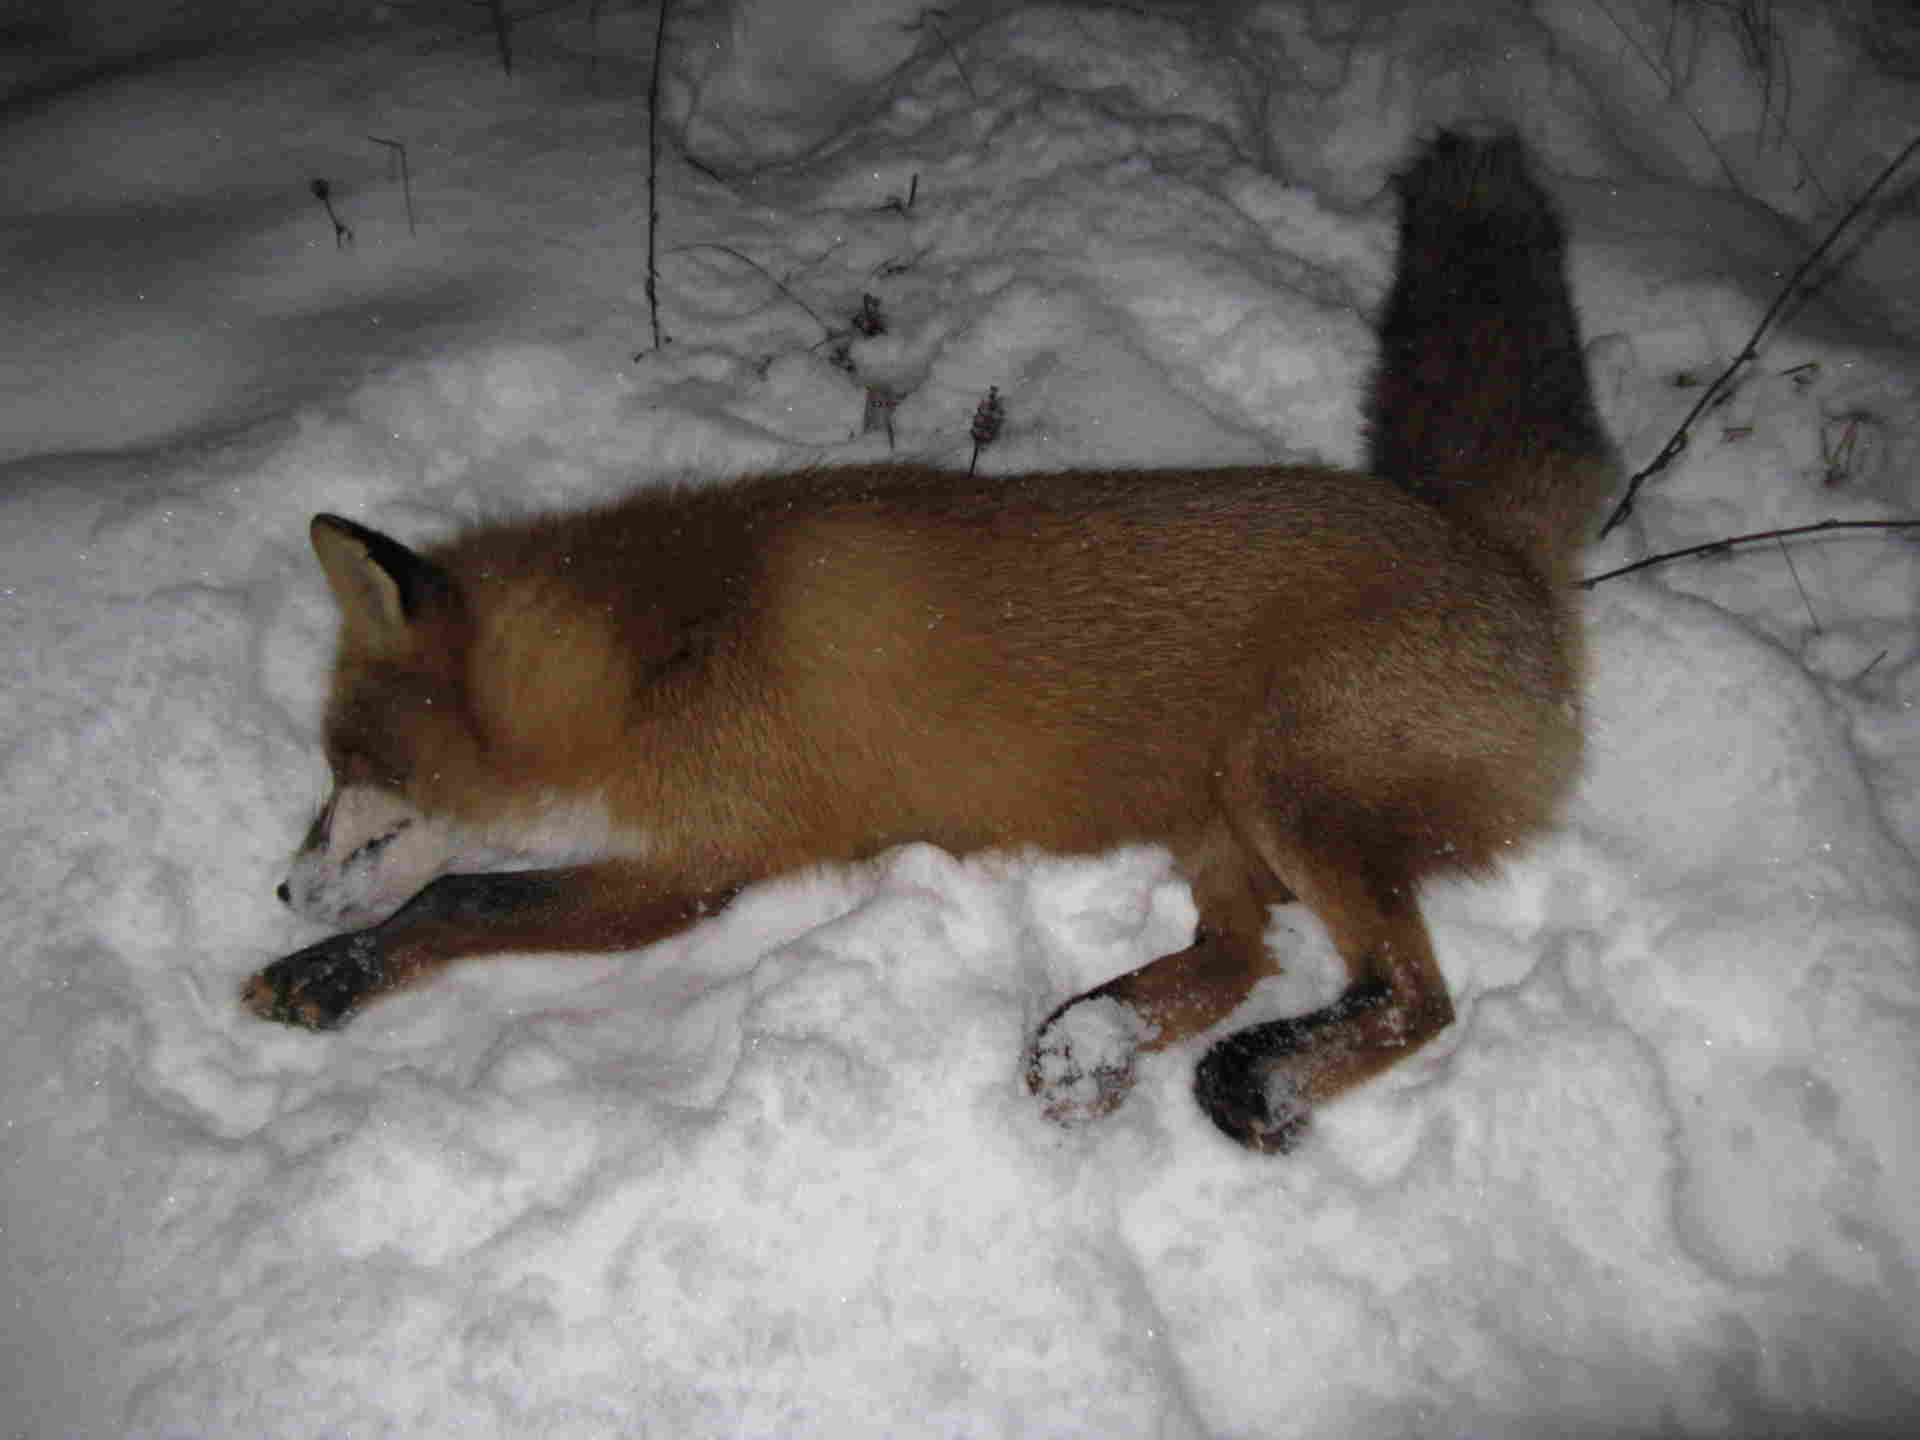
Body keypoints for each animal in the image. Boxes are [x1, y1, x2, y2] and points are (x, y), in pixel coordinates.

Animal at [247, 129, 1612, 1159]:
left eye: (345, 765)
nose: (278, 892)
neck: (668, 644)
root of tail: (1489, 546)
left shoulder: (696, 867)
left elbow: (459, 893)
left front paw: (327, 973)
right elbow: (458, 889)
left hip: (1283, 784)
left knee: (1412, 998)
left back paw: (1255, 1084)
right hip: (1217, 813)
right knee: (1237, 955)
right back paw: (1096, 1041)